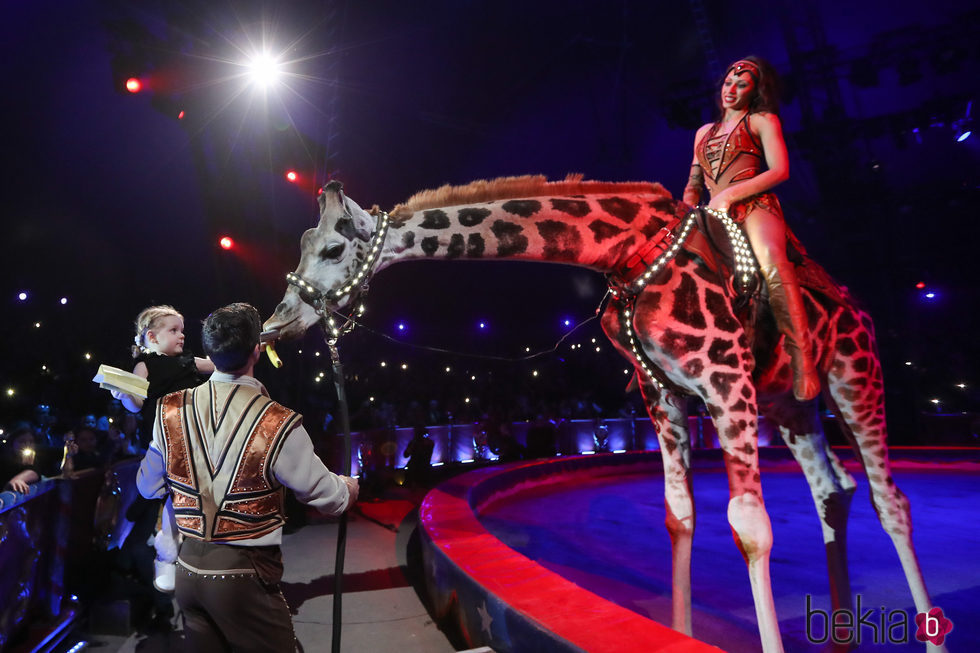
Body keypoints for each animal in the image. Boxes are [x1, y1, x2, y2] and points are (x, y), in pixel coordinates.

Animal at [264, 176, 944, 648]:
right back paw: (842, 635)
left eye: (333, 248)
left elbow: (750, 527)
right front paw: (677, 633)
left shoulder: (725, 380)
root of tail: (858, 307)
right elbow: (678, 516)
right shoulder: (660, 391)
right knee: (833, 490)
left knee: (890, 499)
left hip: (853, 379)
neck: (622, 250)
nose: (277, 322)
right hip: (791, 404)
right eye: (302, 244)